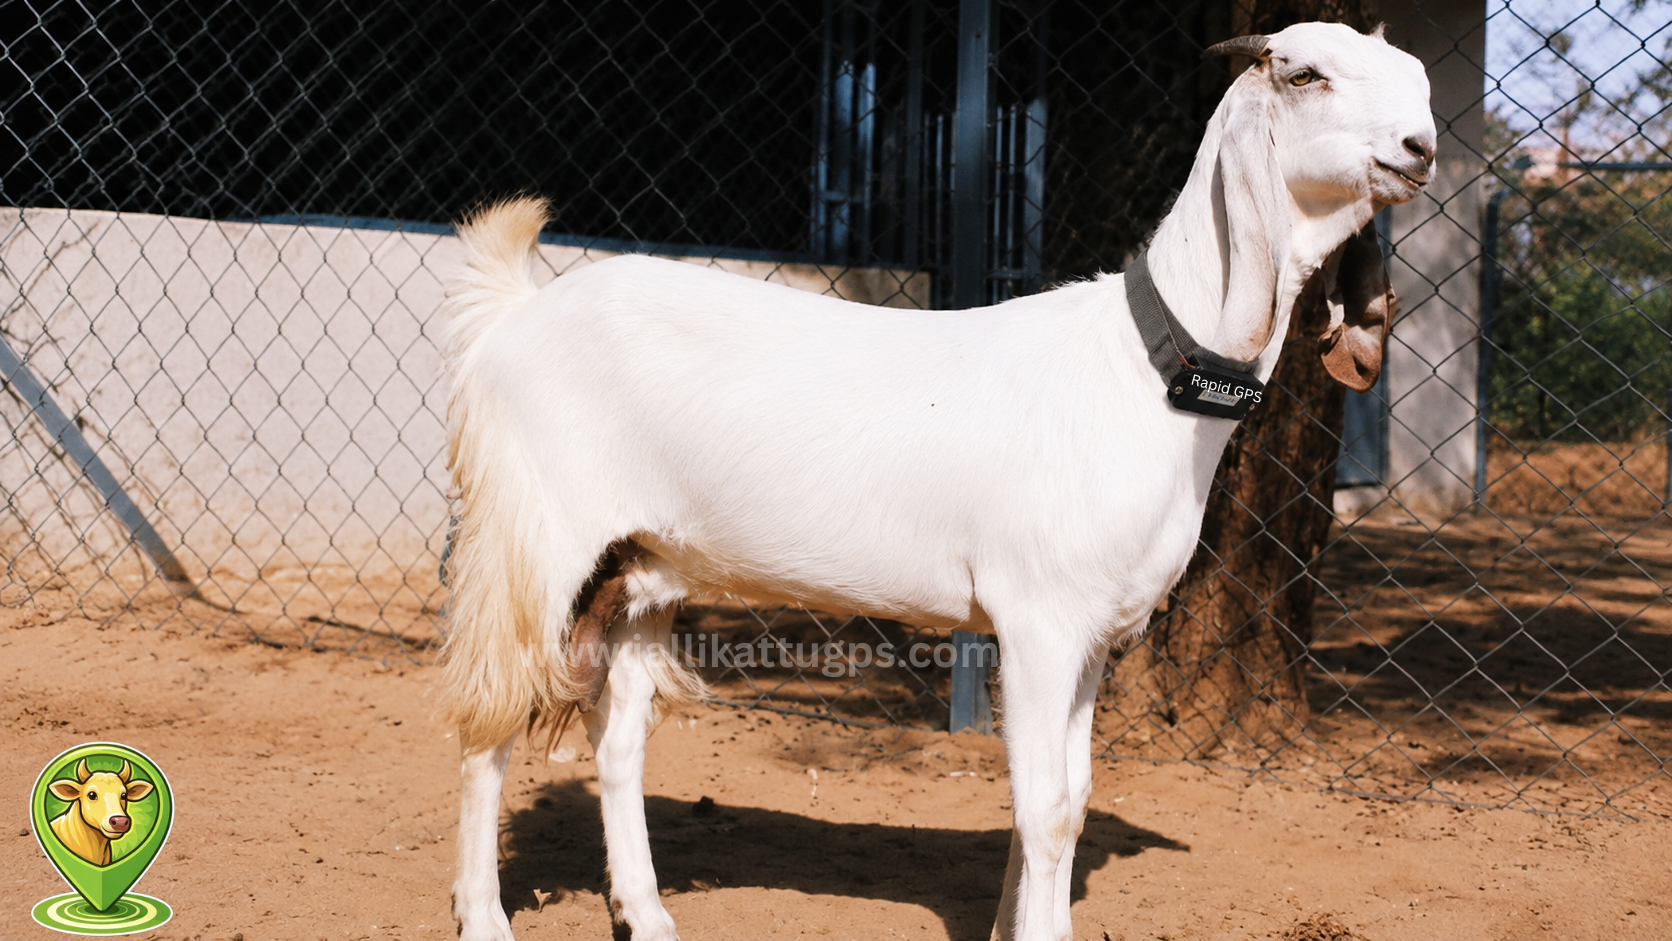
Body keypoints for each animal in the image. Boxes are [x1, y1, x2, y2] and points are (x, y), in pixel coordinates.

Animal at [441, 22, 1435, 941]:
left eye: (1419, 79)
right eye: (1304, 74)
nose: (1421, 145)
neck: (1146, 371)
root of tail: (515, 313)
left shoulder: (1094, 634)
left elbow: (1070, 799)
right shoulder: (1038, 620)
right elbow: (1045, 809)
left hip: (642, 565)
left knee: (618, 739)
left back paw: (646, 913)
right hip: (534, 545)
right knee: (490, 721)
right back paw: (484, 915)